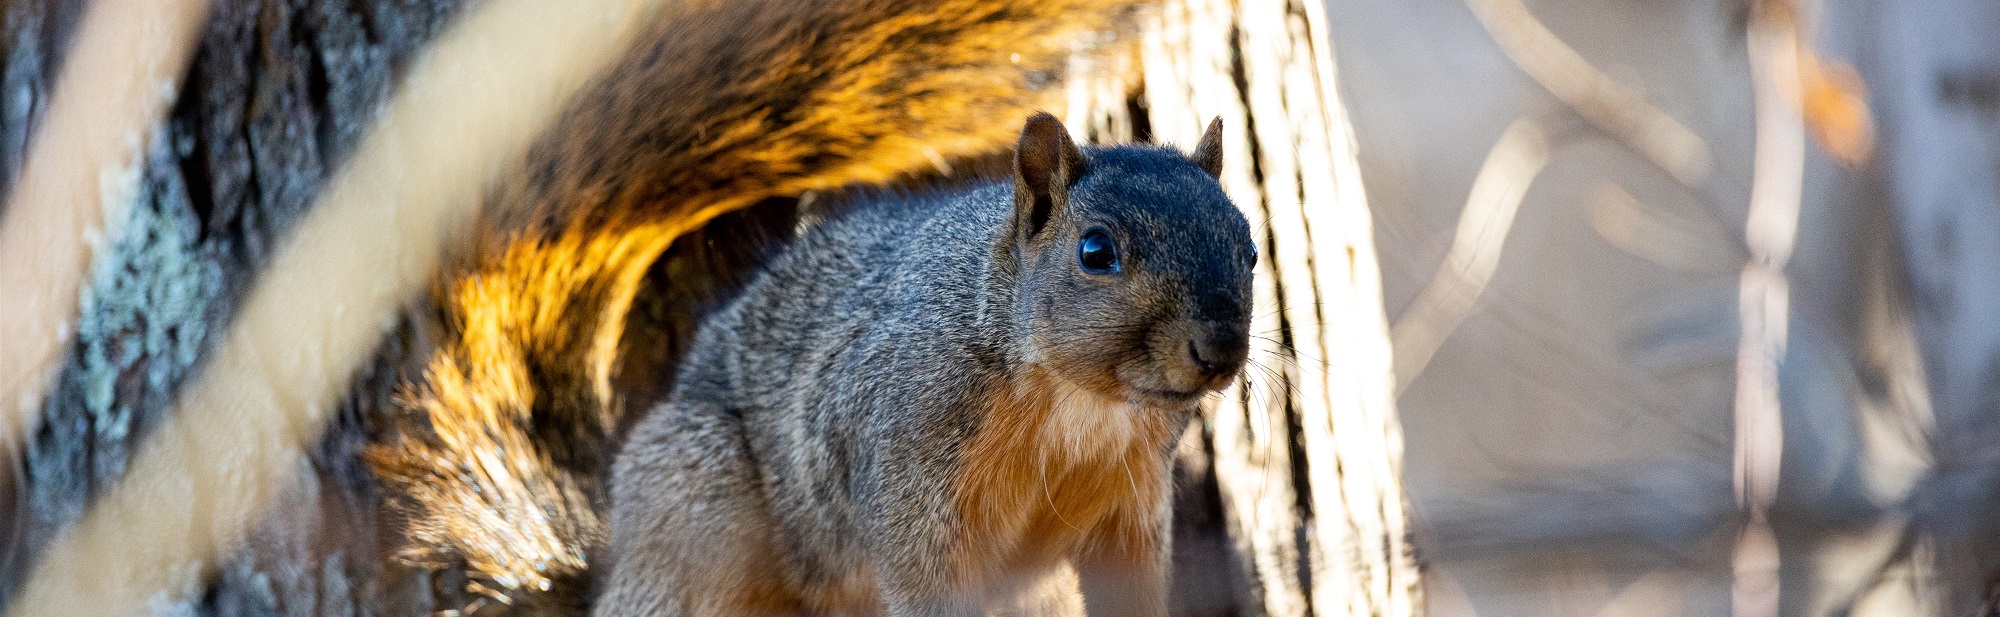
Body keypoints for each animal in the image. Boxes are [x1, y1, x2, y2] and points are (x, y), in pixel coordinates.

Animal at [596, 112, 1248, 617]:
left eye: (1249, 246)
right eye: (1095, 250)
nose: (1219, 350)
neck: (1083, 400)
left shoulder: (1133, 502)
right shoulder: (906, 474)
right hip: (696, 501)